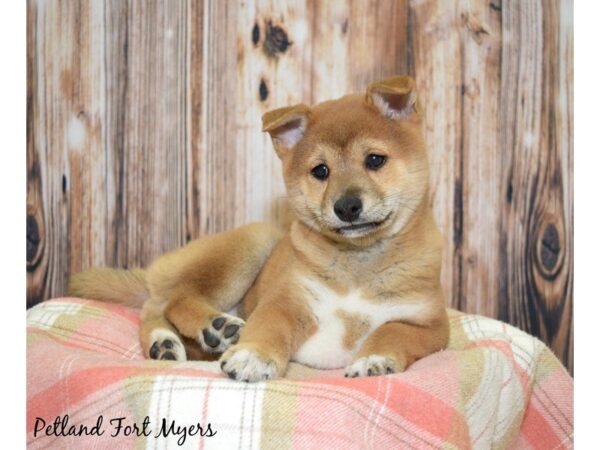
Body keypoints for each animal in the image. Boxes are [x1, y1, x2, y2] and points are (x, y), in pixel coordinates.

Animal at [68, 76, 448, 380]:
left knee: (157, 307)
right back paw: (208, 329)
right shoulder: (287, 300)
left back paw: (172, 343)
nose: (346, 207)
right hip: (250, 245)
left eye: (375, 160)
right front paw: (254, 357)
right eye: (321, 171)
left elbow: (393, 333)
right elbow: (270, 328)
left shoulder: (429, 325)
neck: (358, 264)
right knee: (169, 301)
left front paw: (374, 360)